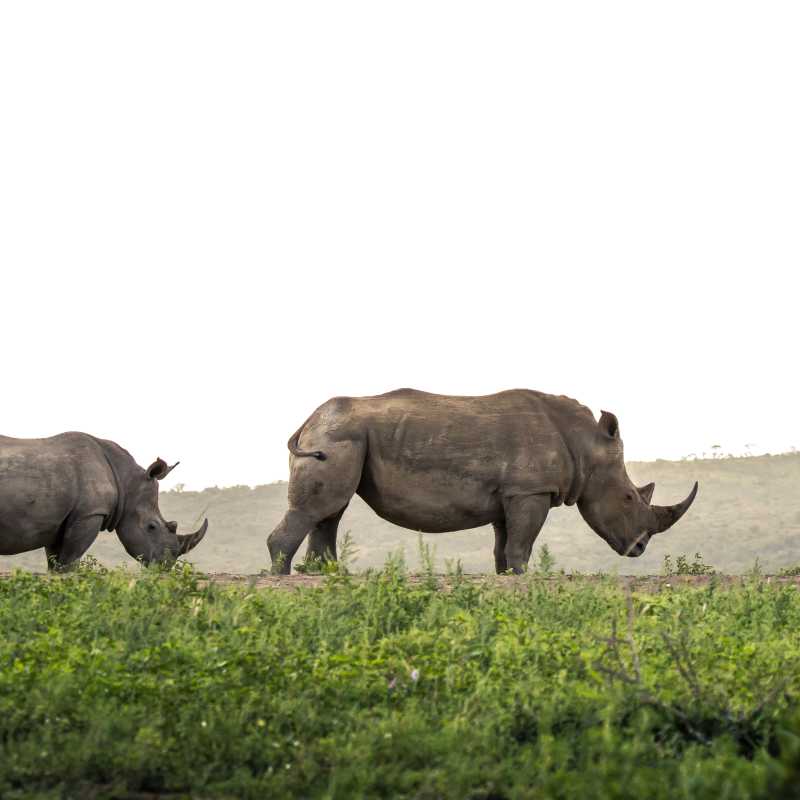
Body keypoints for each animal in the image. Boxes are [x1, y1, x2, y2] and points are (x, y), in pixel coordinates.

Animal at [0, 432, 208, 570]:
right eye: (151, 527)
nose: (165, 566)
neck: (126, 483)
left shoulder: (57, 523)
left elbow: (55, 564)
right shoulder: (90, 513)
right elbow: (68, 562)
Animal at [268, 389, 698, 574]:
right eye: (629, 498)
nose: (639, 547)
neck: (585, 444)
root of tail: (308, 419)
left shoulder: (512, 493)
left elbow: (505, 545)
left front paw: (506, 577)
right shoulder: (531, 489)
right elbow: (522, 544)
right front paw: (526, 578)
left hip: (343, 437)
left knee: (330, 511)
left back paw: (325, 576)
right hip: (339, 436)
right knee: (321, 508)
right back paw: (283, 578)